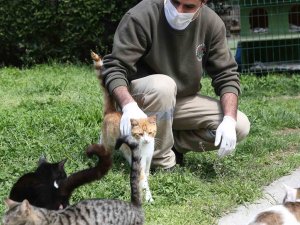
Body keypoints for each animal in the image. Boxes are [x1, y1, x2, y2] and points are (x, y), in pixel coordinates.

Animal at [91, 50, 157, 202]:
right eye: (140, 134)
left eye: (150, 133)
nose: (146, 140)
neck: (144, 147)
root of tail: (111, 111)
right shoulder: (139, 162)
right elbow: (144, 181)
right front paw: (148, 197)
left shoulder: (149, 158)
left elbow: (147, 172)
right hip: (109, 143)